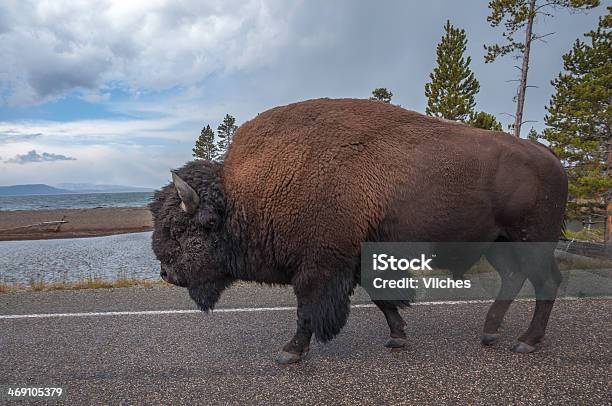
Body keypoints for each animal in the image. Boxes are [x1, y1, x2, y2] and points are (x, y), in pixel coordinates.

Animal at [149, 98, 568, 364]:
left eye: (188, 229)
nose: (167, 273)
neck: (249, 193)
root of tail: (550, 157)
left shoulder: (320, 267)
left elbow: (308, 310)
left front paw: (290, 352)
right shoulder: (357, 260)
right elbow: (382, 299)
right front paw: (397, 337)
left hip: (532, 242)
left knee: (546, 282)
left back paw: (526, 342)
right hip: (499, 243)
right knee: (514, 279)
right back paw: (490, 333)